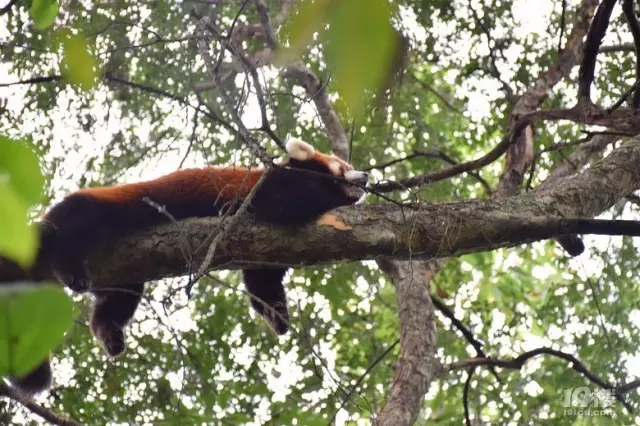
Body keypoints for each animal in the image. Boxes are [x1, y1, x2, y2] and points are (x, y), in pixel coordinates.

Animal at [6, 139, 370, 396]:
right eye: (344, 165)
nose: (366, 175)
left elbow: (261, 280)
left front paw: (277, 317)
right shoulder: (267, 190)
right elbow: (287, 204)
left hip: (124, 268)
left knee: (119, 298)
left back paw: (109, 333)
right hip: (96, 213)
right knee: (74, 231)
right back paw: (68, 269)